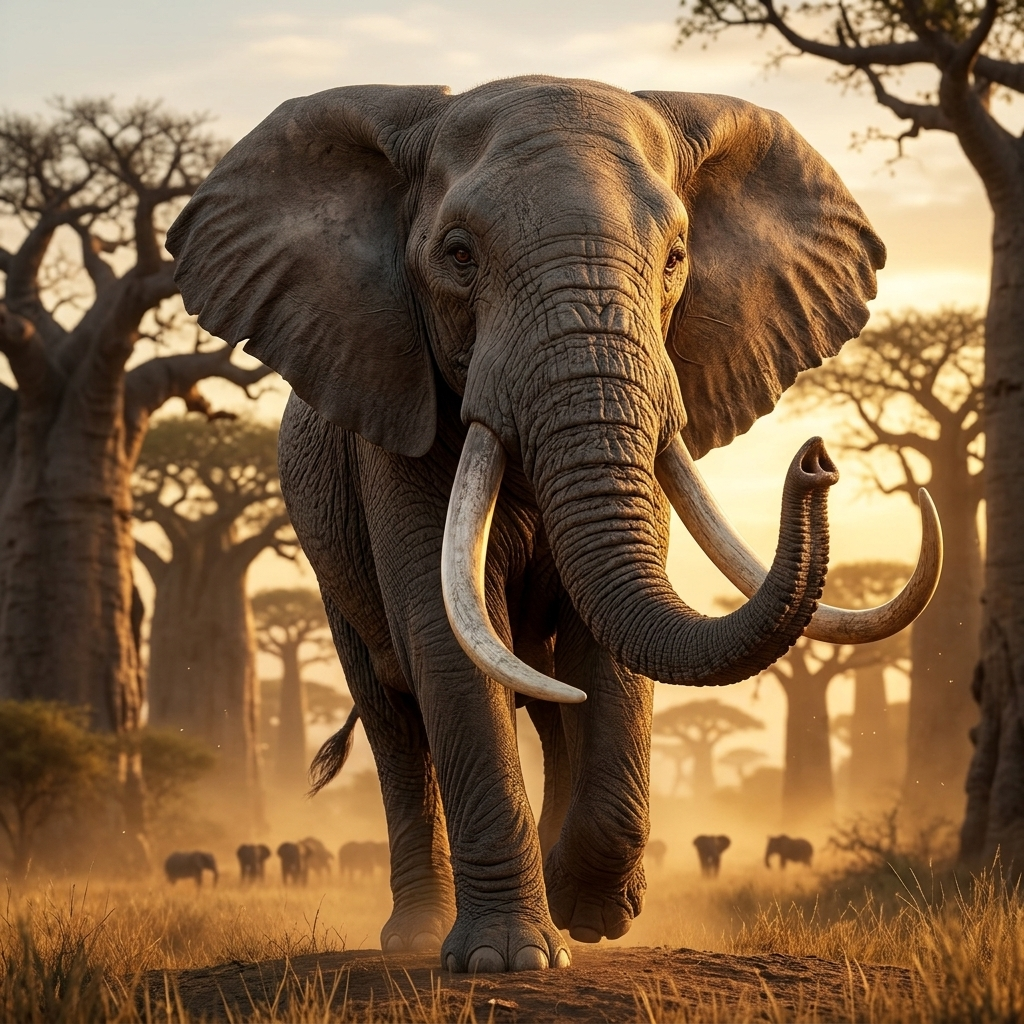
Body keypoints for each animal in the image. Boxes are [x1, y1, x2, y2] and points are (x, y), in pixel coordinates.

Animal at [168, 76, 941, 973]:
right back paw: (416, 937)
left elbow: (603, 646)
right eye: (458, 255)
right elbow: (445, 638)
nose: (817, 460)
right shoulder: (395, 418)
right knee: (397, 718)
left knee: (545, 694)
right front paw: (508, 959)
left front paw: (590, 910)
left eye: (675, 260)